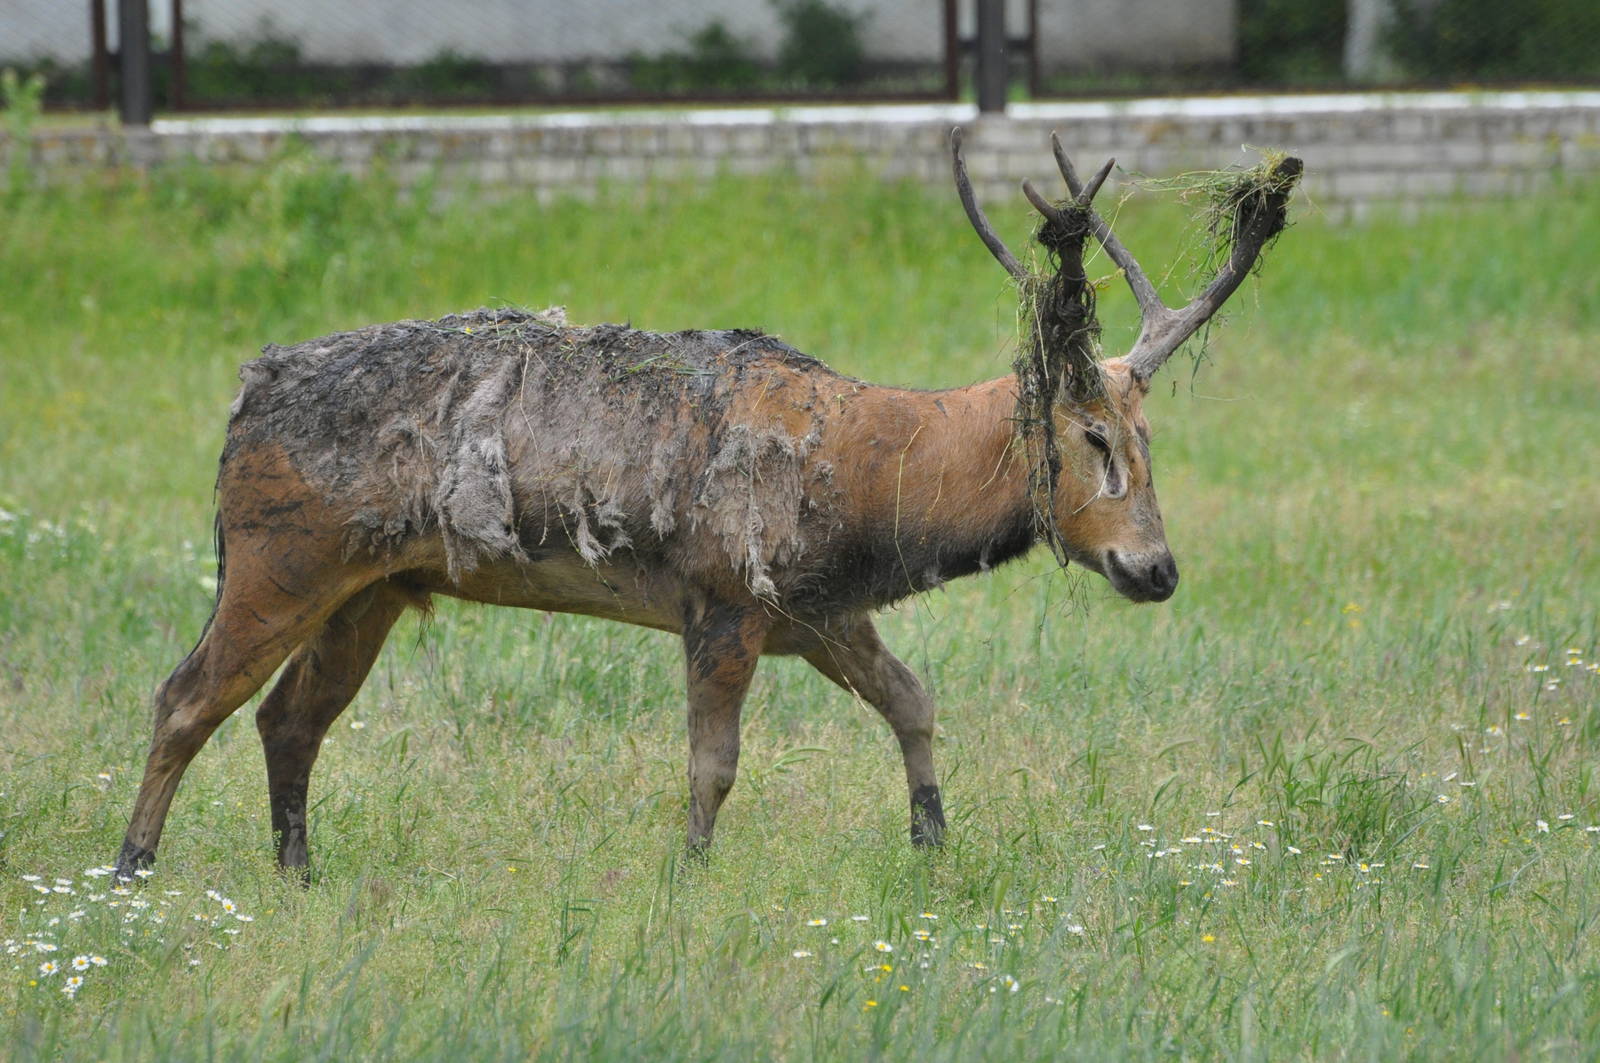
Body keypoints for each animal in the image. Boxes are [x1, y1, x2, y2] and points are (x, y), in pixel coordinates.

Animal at [112, 131, 1301, 882]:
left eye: (1151, 442)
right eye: (1094, 438)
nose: (1156, 568)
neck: (867, 493)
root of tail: (241, 403)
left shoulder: (818, 611)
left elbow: (914, 700)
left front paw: (933, 843)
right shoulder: (722, 598)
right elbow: (713, 763)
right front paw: (688, 873)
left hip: (371, 586)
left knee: (288, 717)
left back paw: (297, 871)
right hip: (279, 556)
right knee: (184, 695)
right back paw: (130, 870)